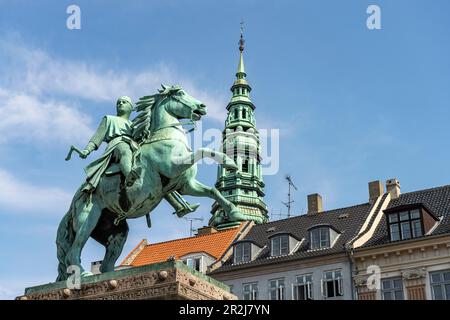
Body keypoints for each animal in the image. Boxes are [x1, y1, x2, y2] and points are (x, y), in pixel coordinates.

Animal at [56, 84, 248, 280]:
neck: (166, 137)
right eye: (180, 93)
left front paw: (235, 212)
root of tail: (71, 207)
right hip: (88, 218)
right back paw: (83, 274)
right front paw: (229, 161)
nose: (202, 106)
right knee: (73, 251)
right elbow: (203, 150)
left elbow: (212, 191)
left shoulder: (186, 185)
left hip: (116, 232)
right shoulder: (174, 167)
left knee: (105, 265)